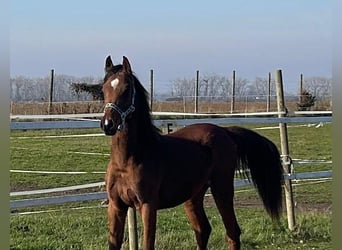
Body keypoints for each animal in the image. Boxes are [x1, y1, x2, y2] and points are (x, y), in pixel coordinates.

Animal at [99, 55, 284, 249]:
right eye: (103, 90)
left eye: (127, 89)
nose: (108, 124)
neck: (128, 160)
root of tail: (226, 132)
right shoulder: (116, 206)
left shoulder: (148, 206)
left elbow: (148, 244)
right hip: (193, 196)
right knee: (203, 230)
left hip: (222, 190)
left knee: (232, 232)